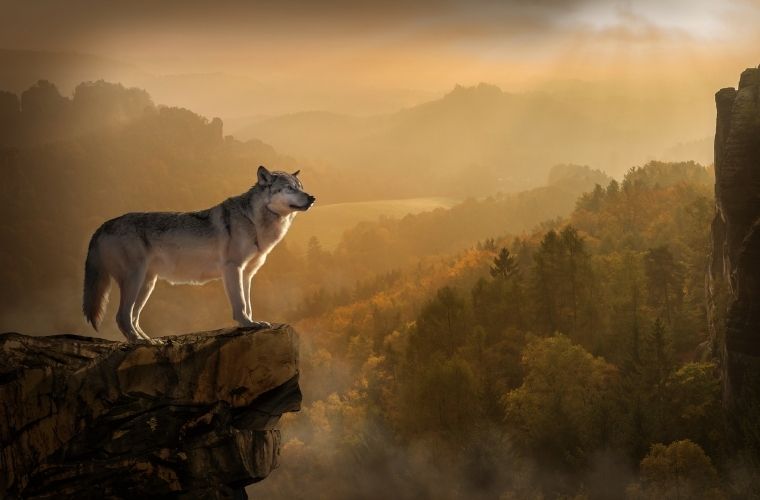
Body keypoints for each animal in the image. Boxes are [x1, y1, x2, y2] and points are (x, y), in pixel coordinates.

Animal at [84, 166, 318, 342]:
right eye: (289, 188)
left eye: (301, 188)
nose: (312, 197)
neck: (254, 221)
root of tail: (102, 226)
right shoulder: (232, 268)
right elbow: (241, 304)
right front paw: (247, 324)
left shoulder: (247, 274)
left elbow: (249, 304)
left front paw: (253, 323)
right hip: (135, 280)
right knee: (122, 316)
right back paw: (141, 342)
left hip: (147, 284)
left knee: (133, 317)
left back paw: (149, 340)